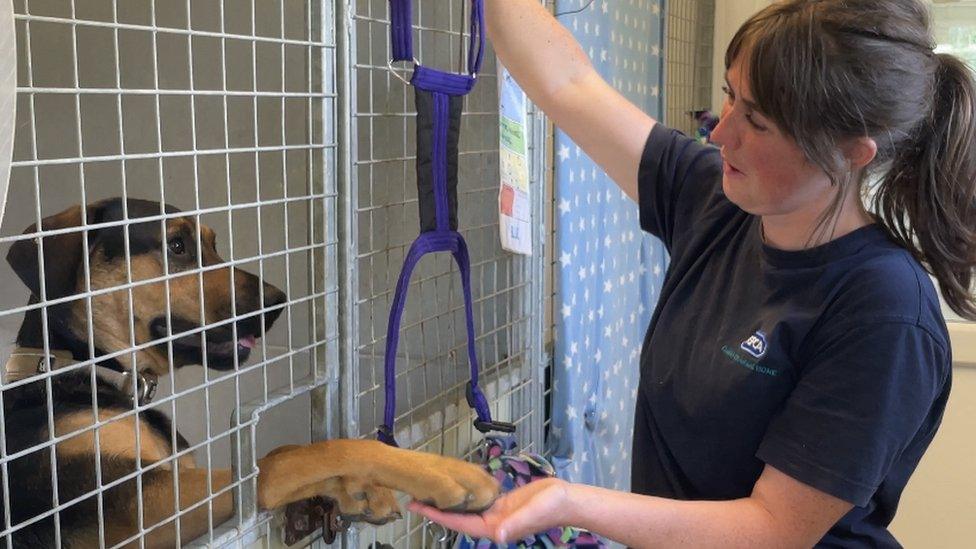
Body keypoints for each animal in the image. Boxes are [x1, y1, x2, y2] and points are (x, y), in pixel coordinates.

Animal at [1, 199, 496, 548]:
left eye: (213, 242)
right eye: (176, 245)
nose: (277, 303)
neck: (88, 373)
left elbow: (293, 455)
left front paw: (359, 490)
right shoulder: (139, 506)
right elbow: (288, 458)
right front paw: (443, 475)